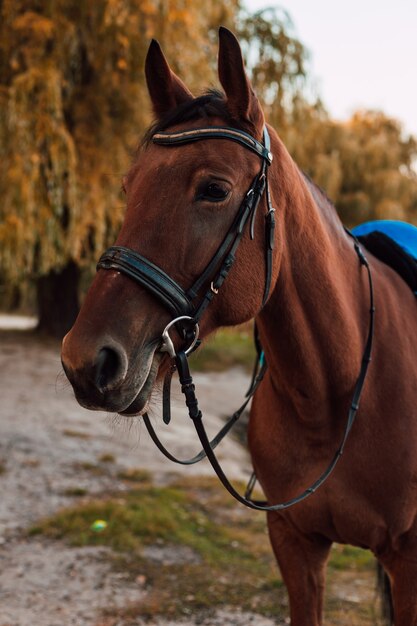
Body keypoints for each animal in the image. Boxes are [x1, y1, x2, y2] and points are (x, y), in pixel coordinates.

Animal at [61, 28, 416, 624]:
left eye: (214, 190)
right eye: (129, 186)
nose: (85, 361)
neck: (336, 394)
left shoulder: (407, 561)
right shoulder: (294, 546)